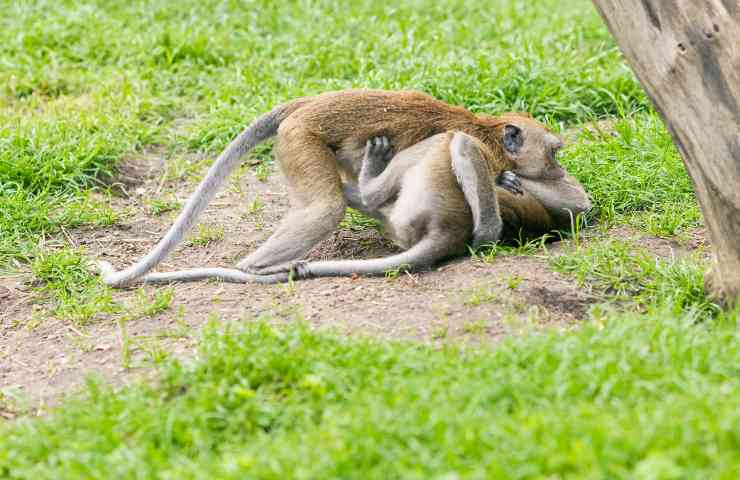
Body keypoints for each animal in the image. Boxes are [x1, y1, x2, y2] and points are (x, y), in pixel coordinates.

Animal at [98, 88, 576, 286]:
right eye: (554, 153)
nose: (560, 171)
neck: (488, 131)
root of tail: (306, 106)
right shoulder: (479, 148)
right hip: (300, 140)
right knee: (324, 208)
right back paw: (254, 269)